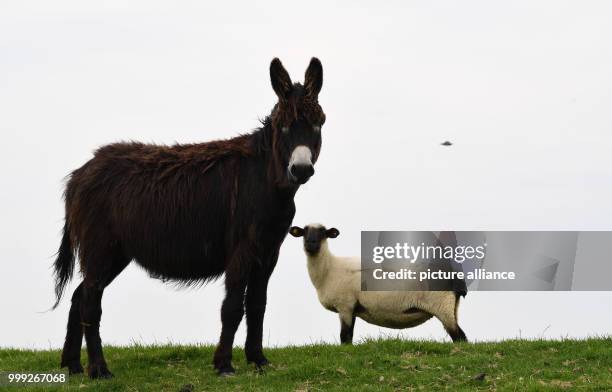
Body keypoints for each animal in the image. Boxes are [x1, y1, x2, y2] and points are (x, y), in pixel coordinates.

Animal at [290, 224, 466, 344]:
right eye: (304, 232)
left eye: (323, 232)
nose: (310, 244)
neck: (330, 269)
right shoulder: (352, 308)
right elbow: (349, 336)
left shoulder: (345, 305)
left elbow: (345, 337)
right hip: (452, 307)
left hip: (442, 305)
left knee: (460, 336)